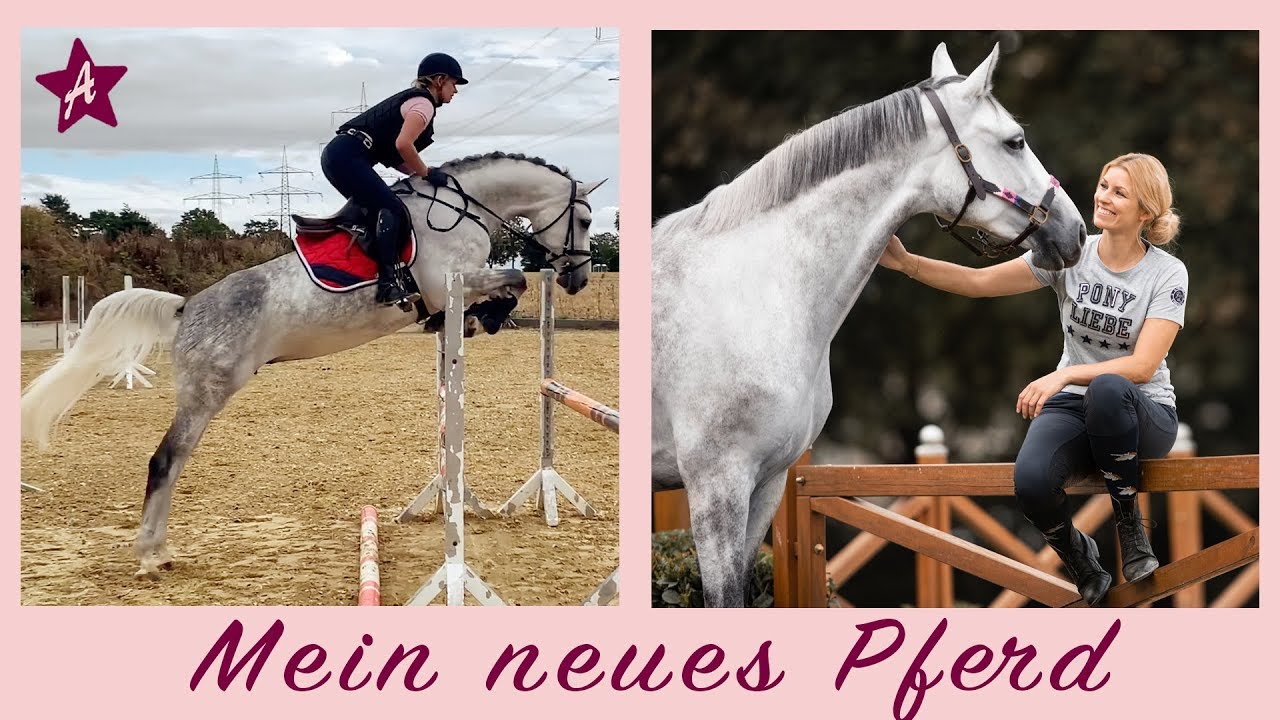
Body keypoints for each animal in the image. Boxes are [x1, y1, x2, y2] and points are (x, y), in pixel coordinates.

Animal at [21, 150, 606, 579]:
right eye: (583, 218)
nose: (578, 279)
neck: (462, 210)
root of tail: (187, 308)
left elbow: (508, 286)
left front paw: (472, 321)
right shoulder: (456, 280)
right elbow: (517, 280)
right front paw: (488, 316)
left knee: (174, 462)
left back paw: (159, 550)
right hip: (207, 393)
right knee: (165, 460)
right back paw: (150, 555)